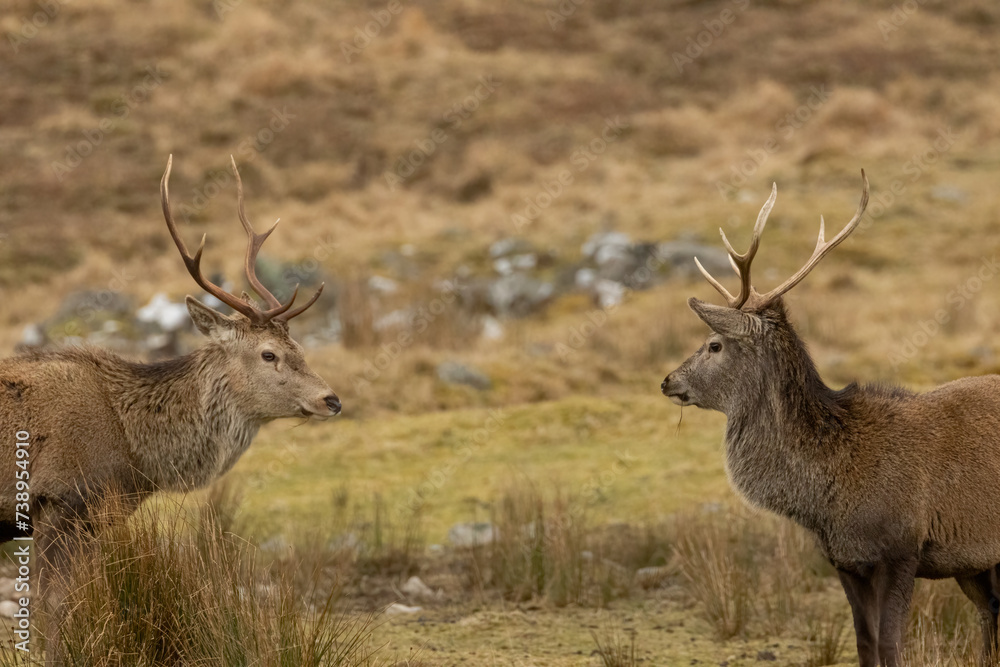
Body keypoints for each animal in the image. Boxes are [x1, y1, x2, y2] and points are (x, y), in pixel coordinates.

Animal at [0, 155, 341, 664]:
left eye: (299, 346)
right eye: (269, 354)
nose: (331, 399)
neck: (134, 451)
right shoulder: (59, 497)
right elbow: (53, 602)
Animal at [661, 171, 1000, 667]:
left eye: (714, 344)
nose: (667, 380)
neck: (828, 496)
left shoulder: (902, 547)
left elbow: (891, 644)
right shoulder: (844, 560)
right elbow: (866, 644)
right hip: (975, 561)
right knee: (990, 615)